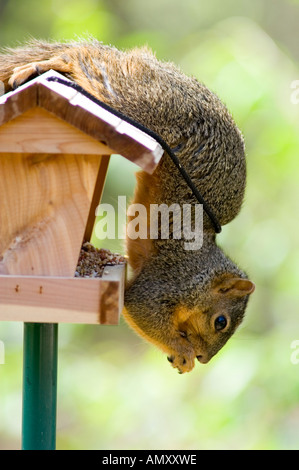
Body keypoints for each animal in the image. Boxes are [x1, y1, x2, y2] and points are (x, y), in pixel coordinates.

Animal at [0, 38, 256, 372]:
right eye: (221, 321)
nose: (204, 358)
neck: (203, 266)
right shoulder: (171, 279)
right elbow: (140, 307)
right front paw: (182, 352)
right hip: (133, 96)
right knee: (85, 59)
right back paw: (43, 65)